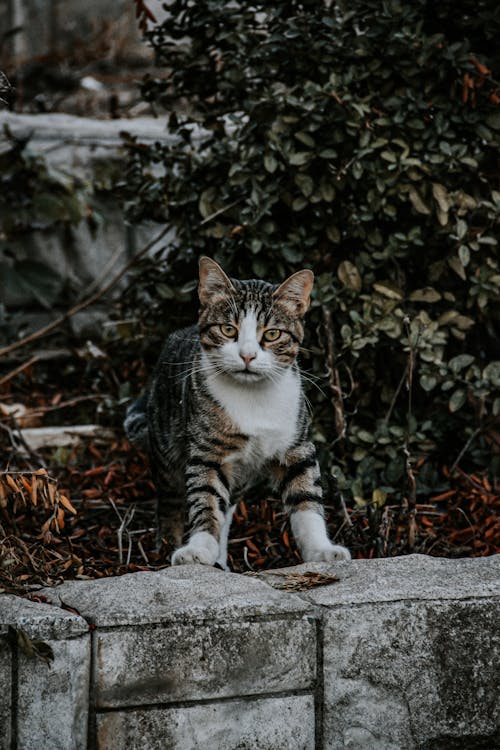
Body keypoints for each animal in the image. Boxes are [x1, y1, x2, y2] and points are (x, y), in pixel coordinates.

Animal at [124, 258, 352, 568]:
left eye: (272, 333)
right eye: (228, 330)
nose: (247, 355)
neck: (253, 397)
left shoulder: (297, 444)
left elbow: (306, 499)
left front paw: (321, 550)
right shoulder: (208, 451)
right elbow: (206, 500)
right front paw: (198, 548)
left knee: (228, 505)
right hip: (165, 443)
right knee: (171, 499)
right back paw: (169, 543)